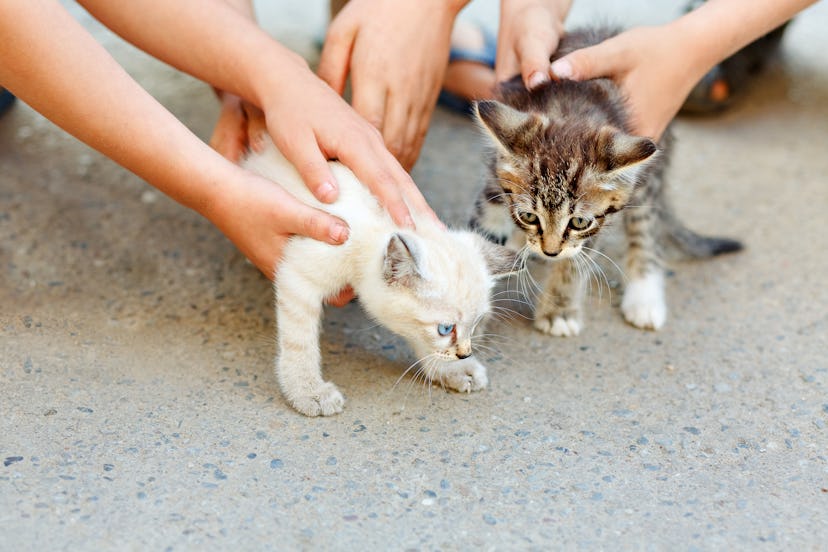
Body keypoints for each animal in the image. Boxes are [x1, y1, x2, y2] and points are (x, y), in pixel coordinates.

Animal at [472, 28, 744, 336]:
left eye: (578, 222)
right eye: (529, 216)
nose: (551, 252)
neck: (569, 108)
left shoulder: (599, 220)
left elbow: (578, 260)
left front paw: (559, 311)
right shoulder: (493, 180)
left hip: (646, 178)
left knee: (645, 227)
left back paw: (644, 295)